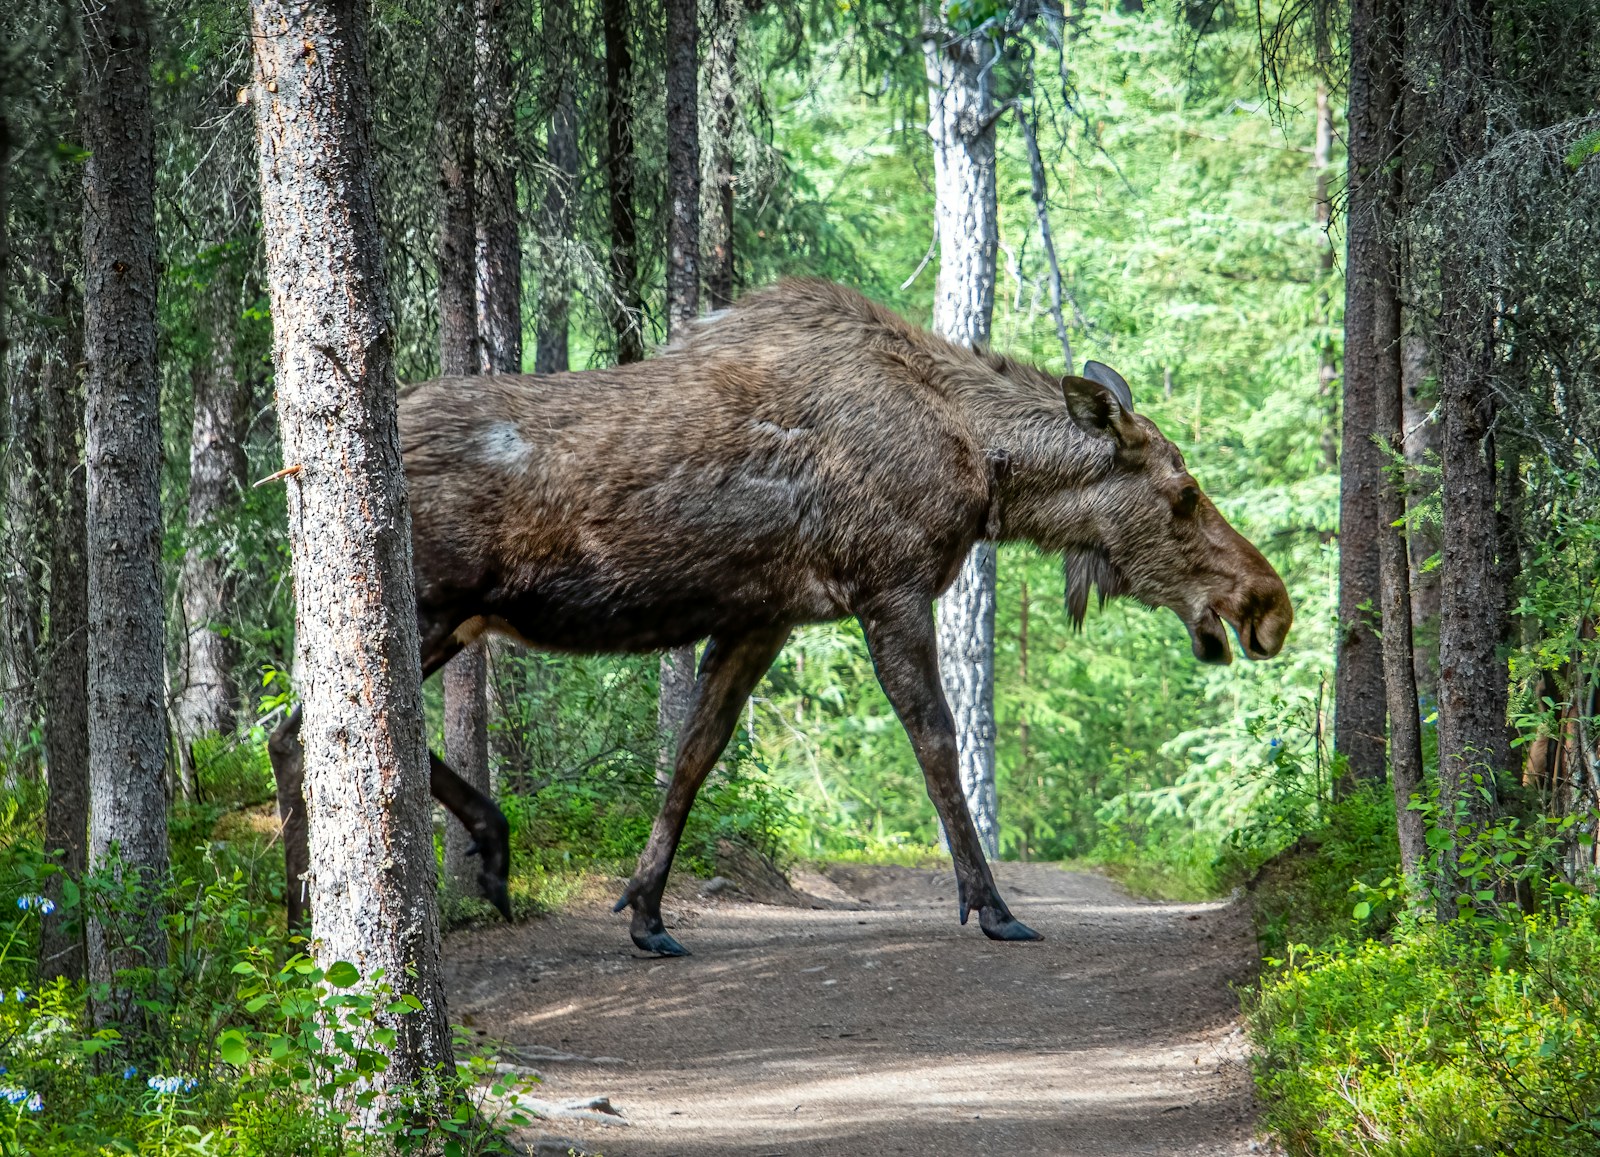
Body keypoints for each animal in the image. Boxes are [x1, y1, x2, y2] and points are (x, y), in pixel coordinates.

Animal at [269, 277, 1293, 954]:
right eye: (1183, 494)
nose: (1270, 606)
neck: (983, 467)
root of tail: (291, 468)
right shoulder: (890, 586)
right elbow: (938, 747)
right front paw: (993, 905)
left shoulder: (765, 617)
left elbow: (693, 757)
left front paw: (647, 911)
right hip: (431, 607)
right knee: (308, 732)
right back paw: (321, 911)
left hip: (451, 619)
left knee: (297, 731)